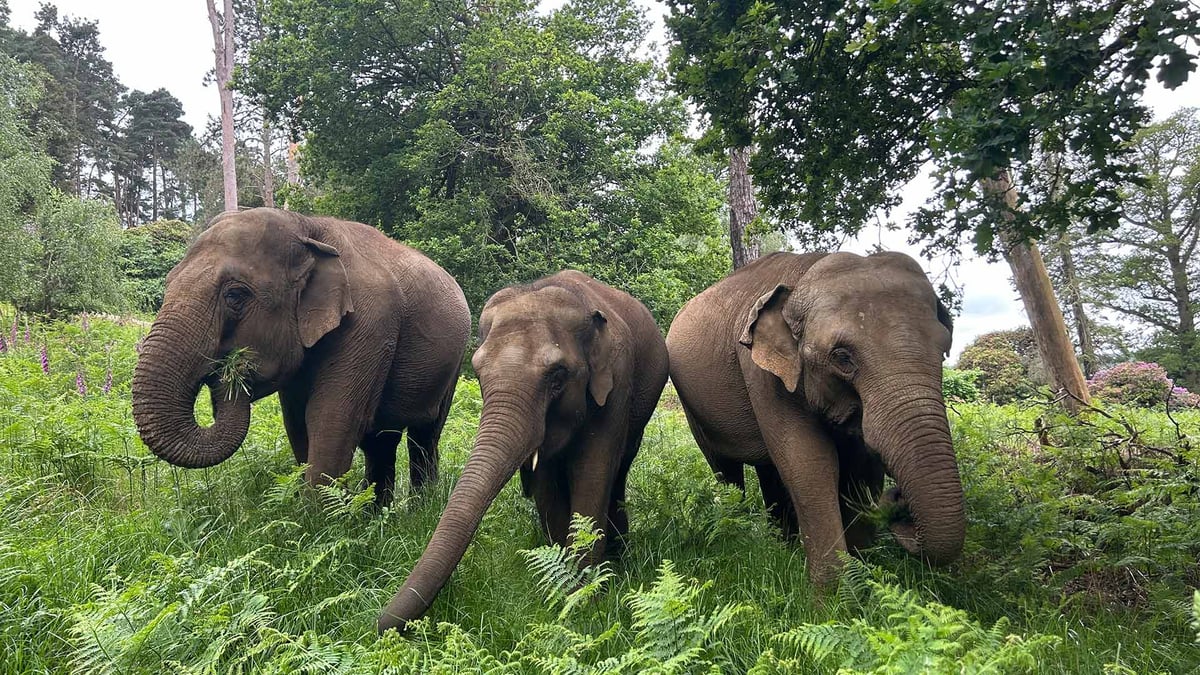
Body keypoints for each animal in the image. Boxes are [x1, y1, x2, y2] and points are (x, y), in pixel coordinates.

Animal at [131, 208, 470, 507]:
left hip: (452, 367)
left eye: (235, 295)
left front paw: (319, 520)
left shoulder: (372, 321)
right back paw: (377, 515)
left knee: (424, 435)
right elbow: (296, 420)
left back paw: (419, 509)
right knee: (382, 441)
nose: (228, 369)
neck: (306, 227)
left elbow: (330, 417)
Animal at [377, 270, 669, 632]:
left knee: (619, 471)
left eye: (557, 377)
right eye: (478, 373)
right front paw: (564, 582)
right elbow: (546, 483)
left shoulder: (616, 383)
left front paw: (582, 600)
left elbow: (592, 472)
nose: (377, 624)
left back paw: (619, 554)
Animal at [666, 251, 964, 584]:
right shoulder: (761, 372)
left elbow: (861, 468)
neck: (804, 276)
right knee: (725, 469)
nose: (898, 502)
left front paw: (863, 574)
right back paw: (736, 537)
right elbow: (809, 463)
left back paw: (782, 547)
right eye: (842, 358)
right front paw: (834, 592)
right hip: (694, 409)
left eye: (944, 349)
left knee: (769, 470)